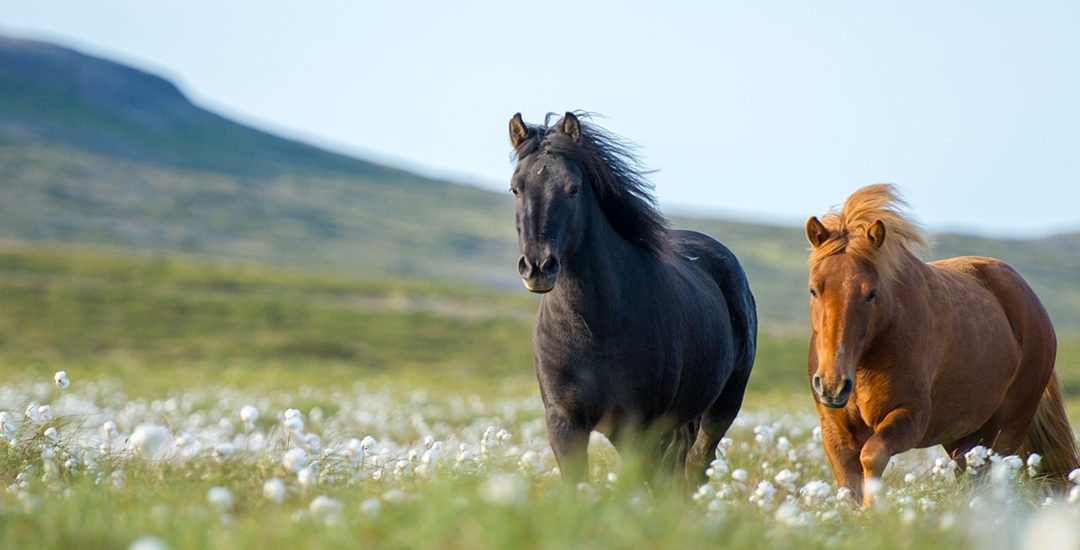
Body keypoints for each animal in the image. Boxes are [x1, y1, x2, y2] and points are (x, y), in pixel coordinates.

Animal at [507, 112, 756, 484]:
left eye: (573, 188)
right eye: (515, 187)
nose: (537, 266)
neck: (594, 327)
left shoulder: (638, 427)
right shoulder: (565, 423)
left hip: (721, 406)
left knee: (697, 463)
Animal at [807, 183, 1075, 501]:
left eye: (871, 293)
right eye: (814, 290)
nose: (833, 385)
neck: (864, 363)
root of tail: (1032, 302)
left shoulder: (910, 416)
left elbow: (872, 456)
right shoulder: (836, 434)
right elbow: (849, 488)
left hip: (1005, 431)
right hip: (966, 439)